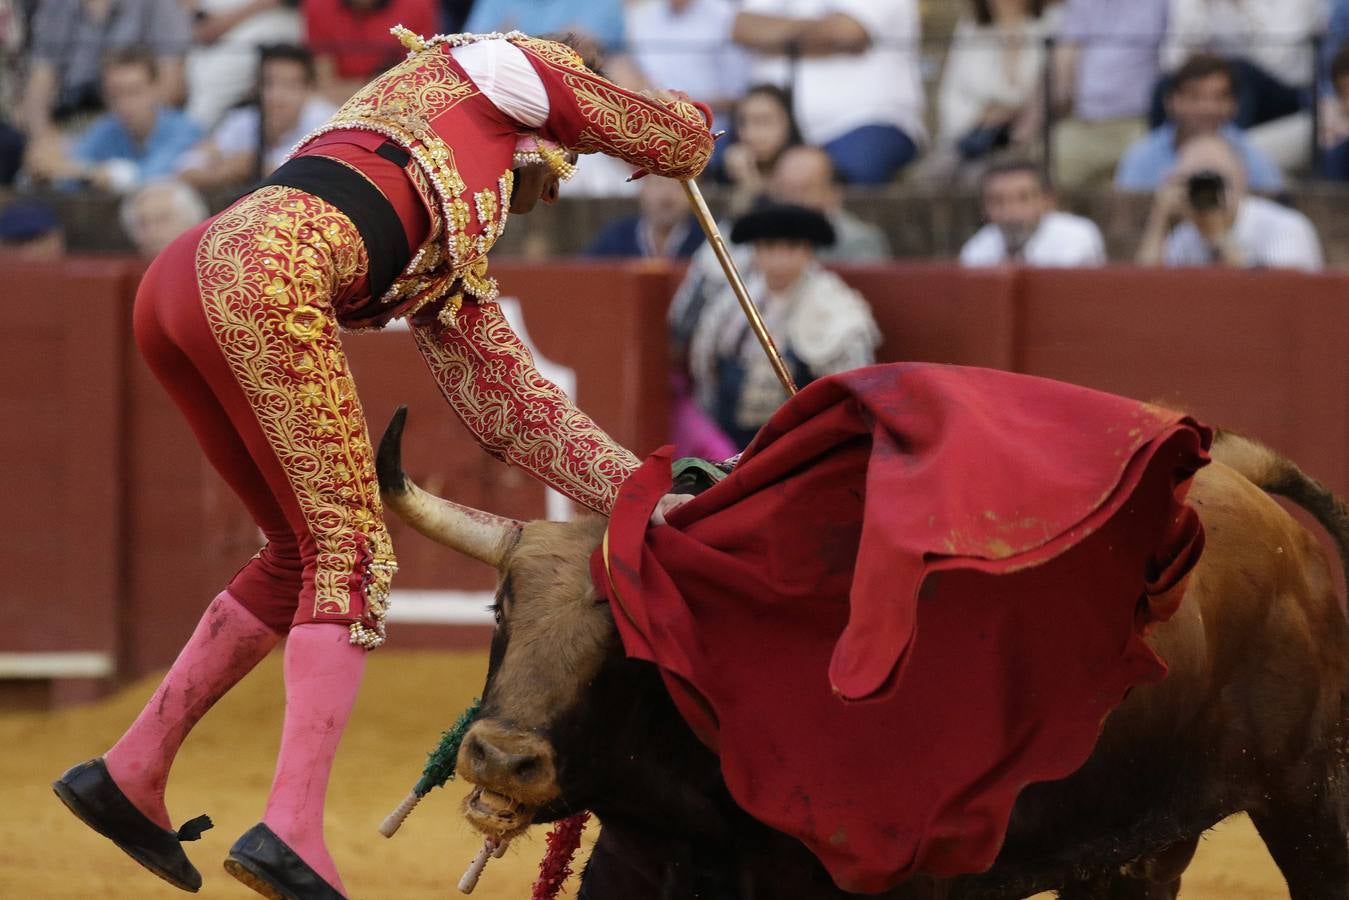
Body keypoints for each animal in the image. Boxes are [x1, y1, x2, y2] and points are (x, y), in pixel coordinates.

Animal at [377, 410, 1349, 900]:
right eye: (500, 607)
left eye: (636, 642)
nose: (500, 758)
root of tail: (1256, 494)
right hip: (1136, 847)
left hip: (1310, 802)